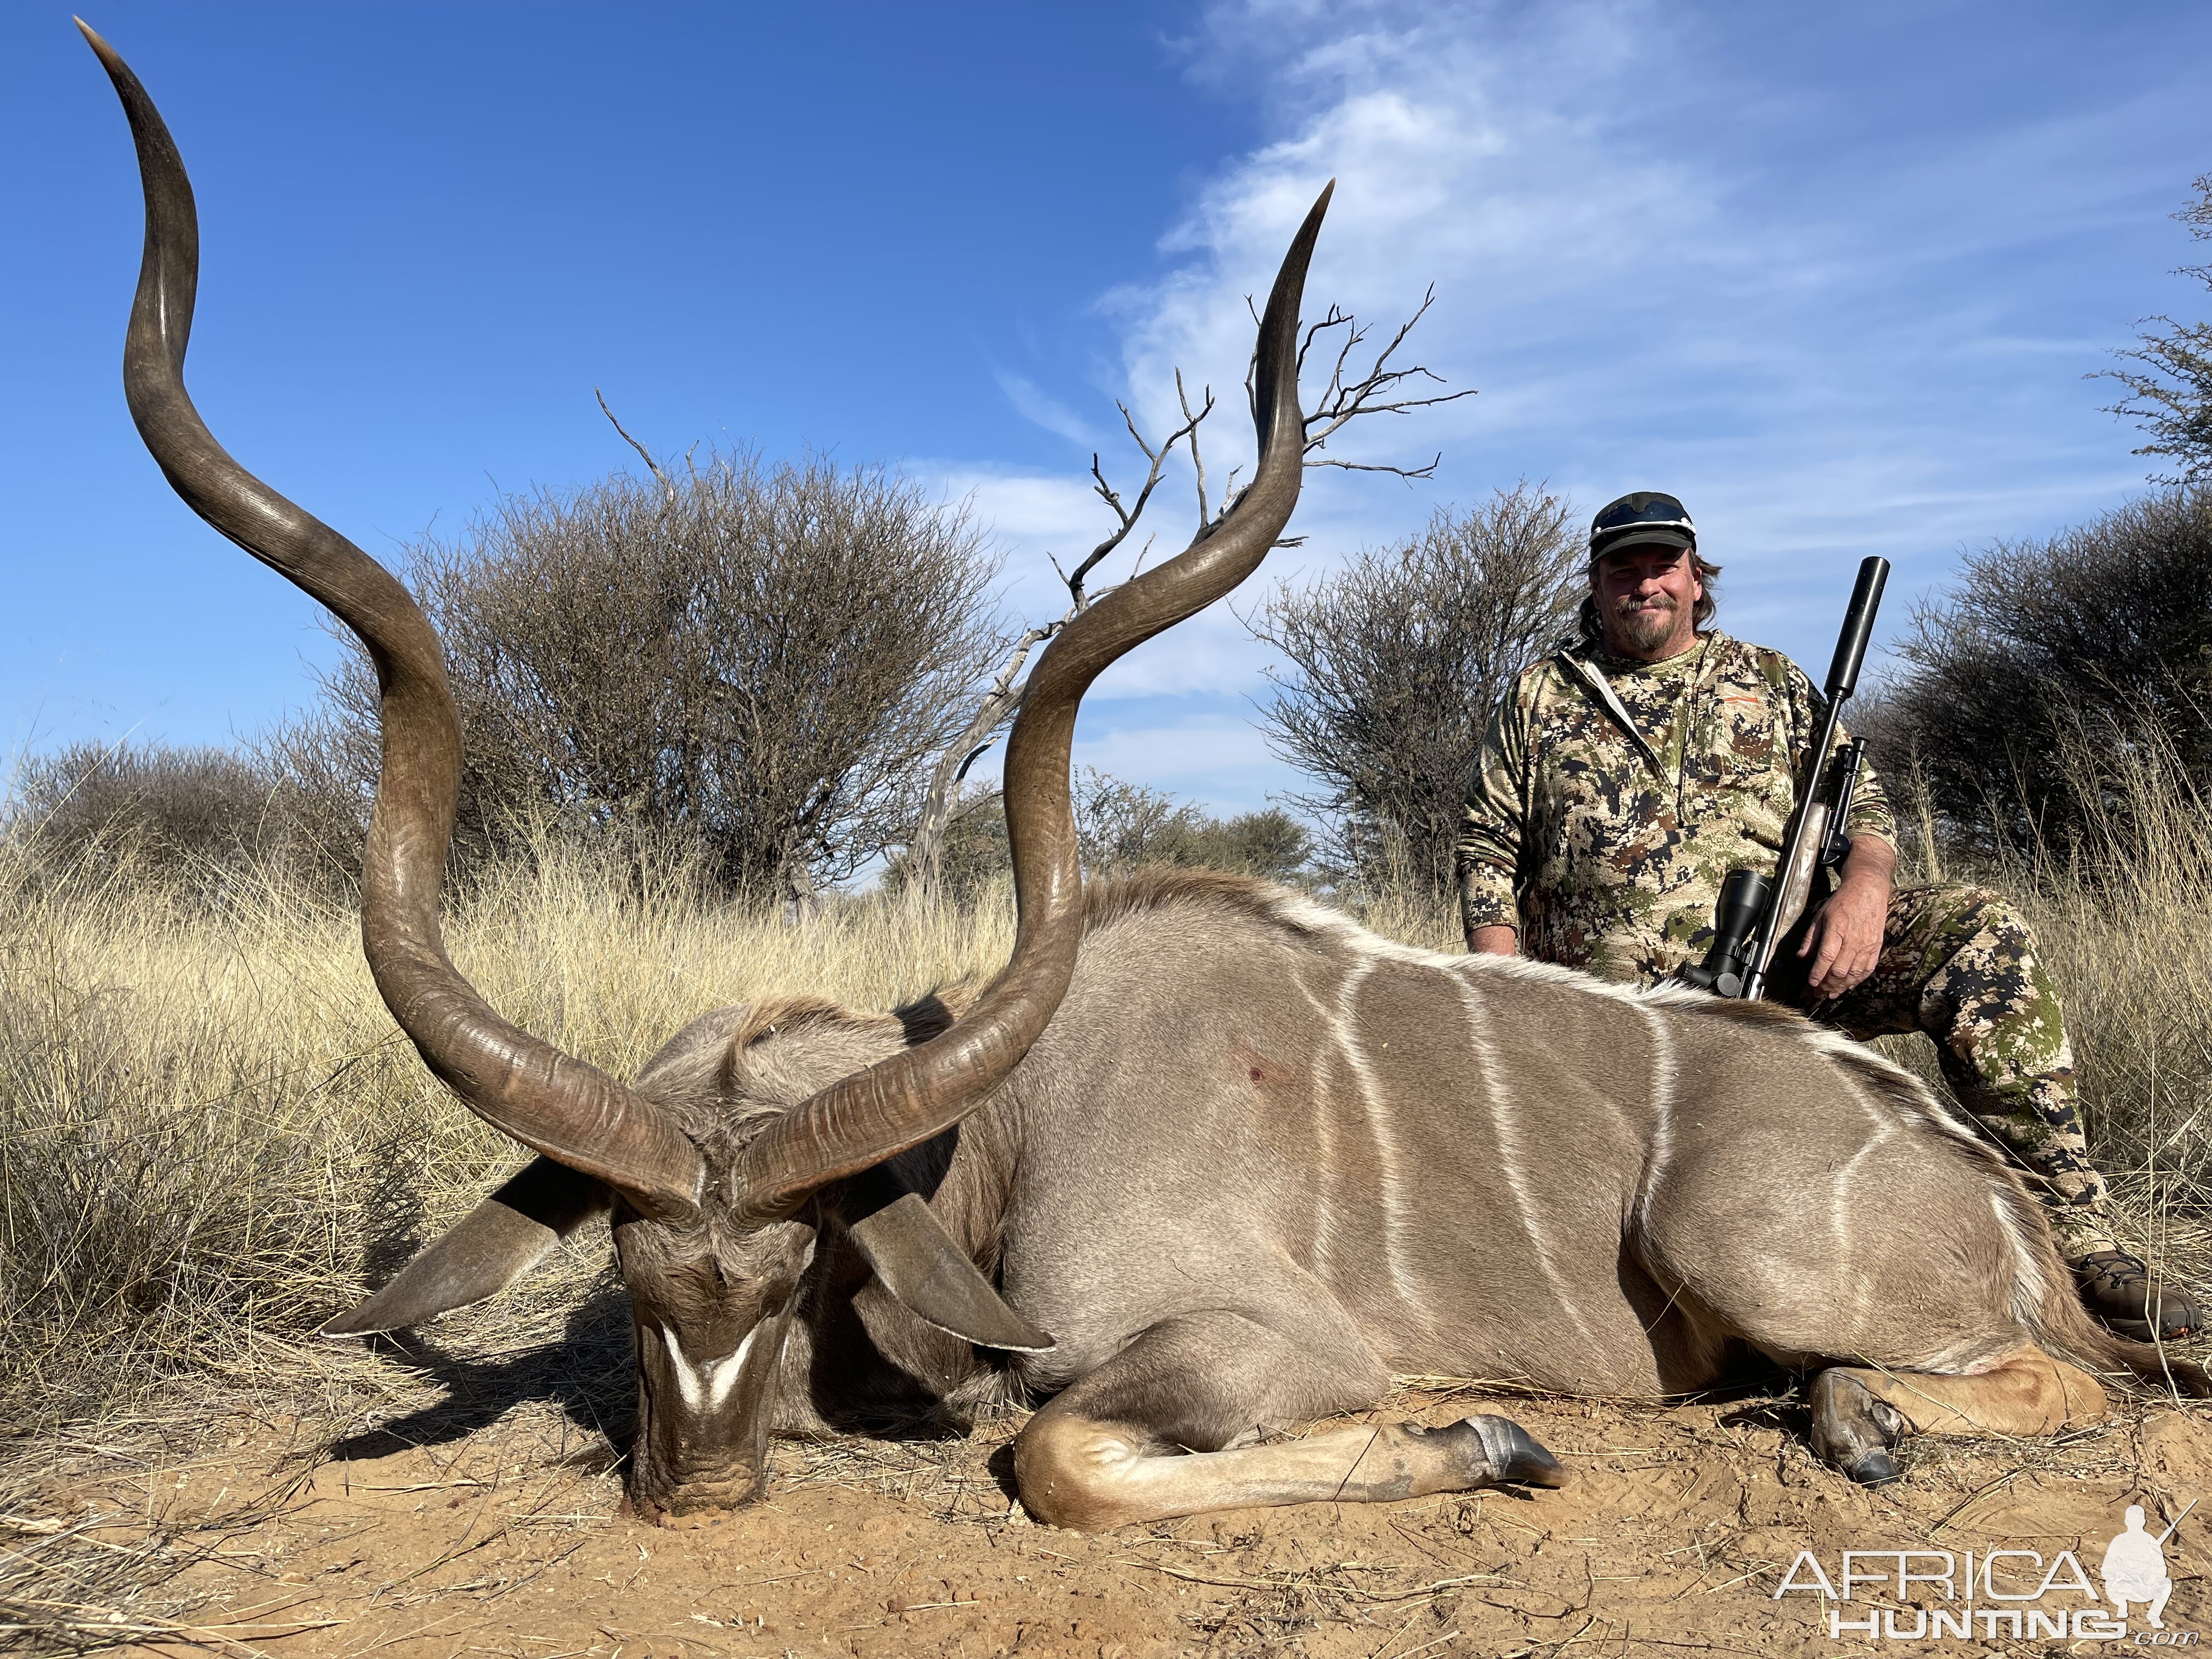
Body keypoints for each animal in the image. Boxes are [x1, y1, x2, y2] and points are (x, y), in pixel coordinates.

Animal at [82, 22, 2194, 1531]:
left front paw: (1489, 1444)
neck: (1006, 1130)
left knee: (2066, 1376)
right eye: (636, 1259)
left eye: (798, 1260)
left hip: (1737, 1233)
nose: (701, 1488)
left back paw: (1864, 1416)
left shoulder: (1251, 1345)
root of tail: (1992, 1192)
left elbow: (1060, 1453)